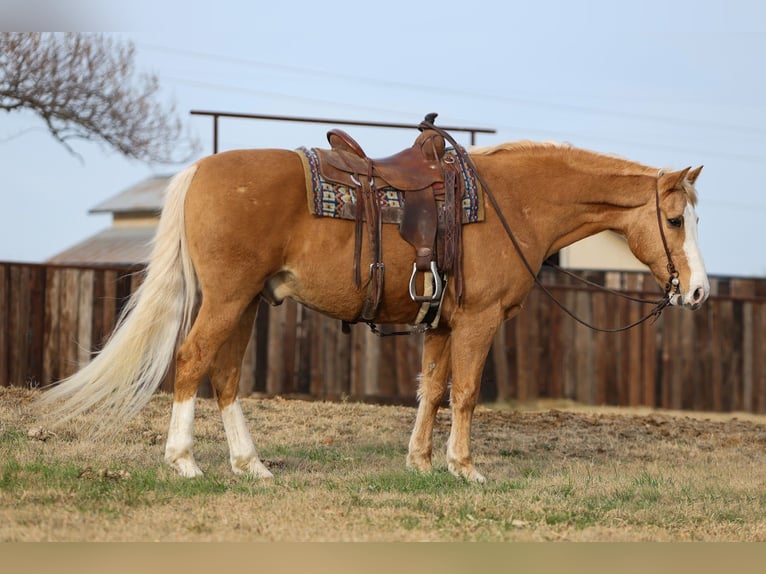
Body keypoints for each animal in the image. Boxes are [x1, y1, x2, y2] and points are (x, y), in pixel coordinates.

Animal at [39, 135, 709, 483]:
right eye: (676, 220)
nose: (699, 290)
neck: (512, 202)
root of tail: (201, 169)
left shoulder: (443, 324)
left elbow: (432, 390)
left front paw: (420, 462)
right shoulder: (480, 320)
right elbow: (465, 392)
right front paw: (465, 468)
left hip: (246, 302)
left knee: (225, 375)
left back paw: (250, 465)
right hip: (227, 299)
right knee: (192, 358)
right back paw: (183, 461)